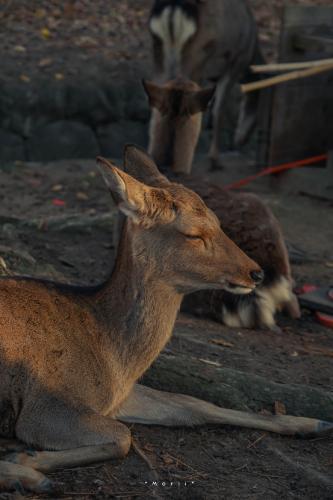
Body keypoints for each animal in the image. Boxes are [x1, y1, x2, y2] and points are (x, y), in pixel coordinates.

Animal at [0, 145, 328, 492]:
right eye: (193, 234)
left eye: (218, 220)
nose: (256, 272)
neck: (114, 359)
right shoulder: (45, 405)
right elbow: (123, 436)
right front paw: (26, 459)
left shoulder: (122, 395)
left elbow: (195, 404)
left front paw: (313, 422)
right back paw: (27, 476)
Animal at [149, 0, 264, 168]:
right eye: (257, 119)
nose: (239, 142)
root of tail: (173, 7)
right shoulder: (235, 63)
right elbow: (218, 109)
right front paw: (214, 159)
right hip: (196, 54)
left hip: (158, 50)